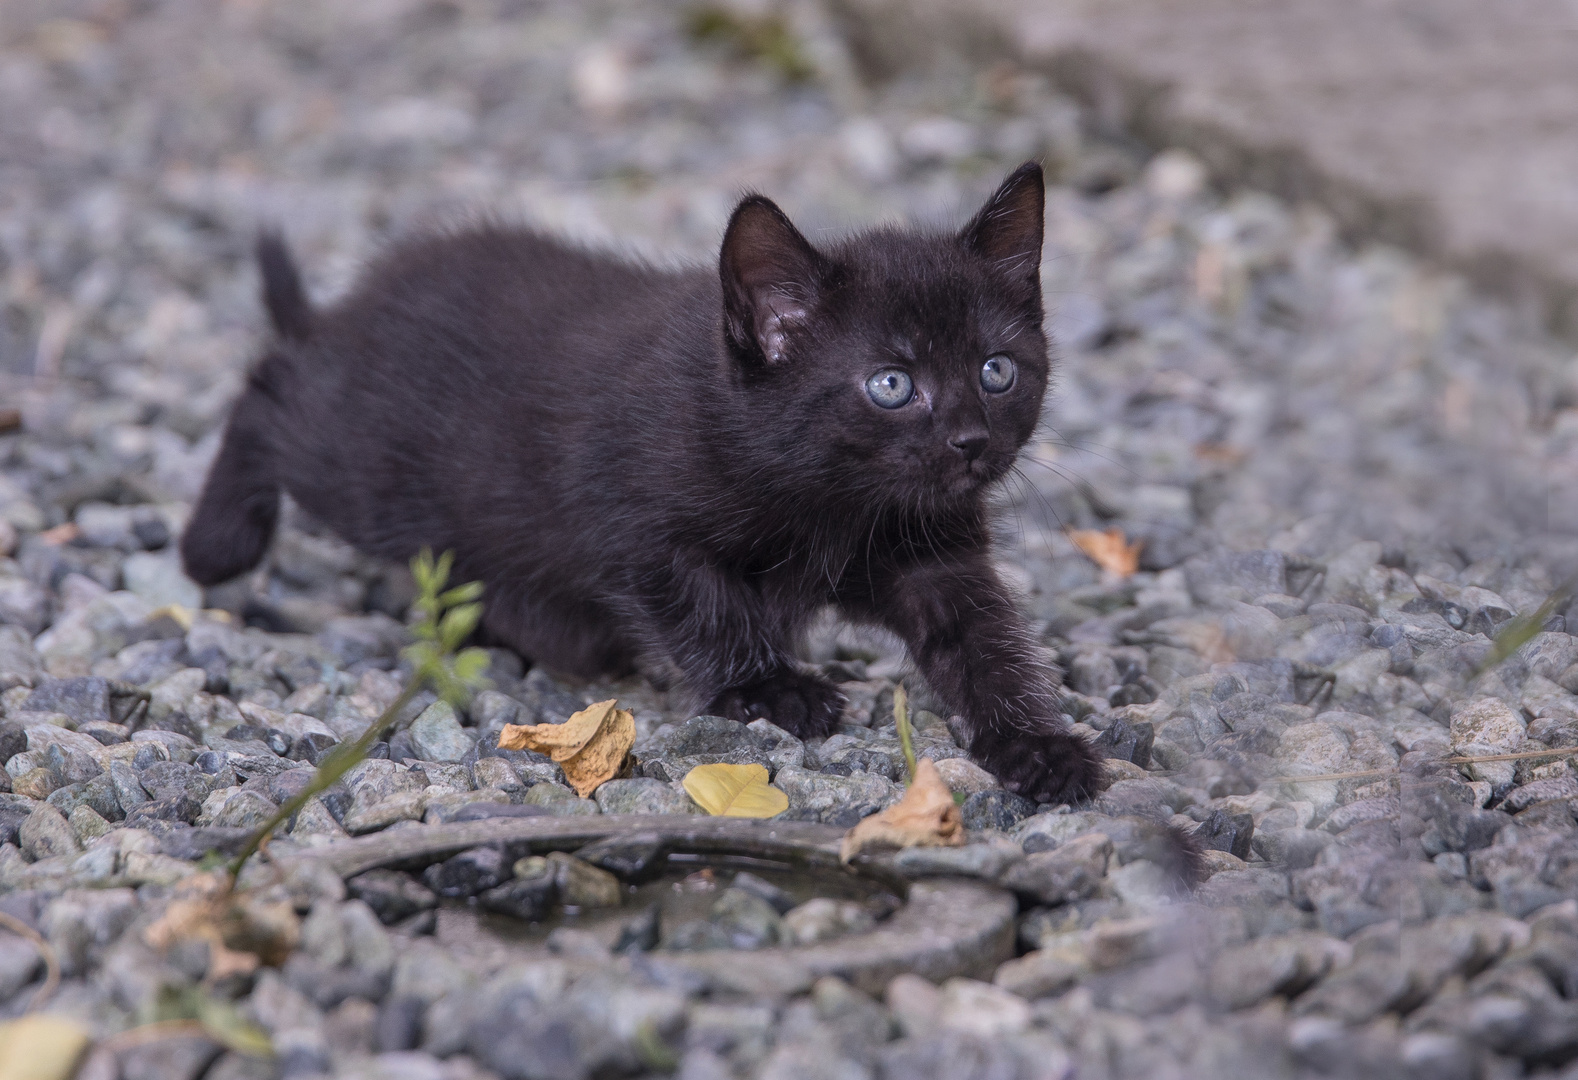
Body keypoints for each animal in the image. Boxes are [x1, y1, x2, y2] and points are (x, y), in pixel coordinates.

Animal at [181, 162, 1098, 802]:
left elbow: (984, 642)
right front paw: (771, 687)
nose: (971, 442)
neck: (836, 503)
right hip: (367, 470)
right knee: (271, 389)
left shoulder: (937, 555)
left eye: (996, 369)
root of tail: (354, 308)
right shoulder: (634, 524)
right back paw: (215, 545)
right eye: (892, 384)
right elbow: (705, 605)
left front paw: (1038, 746)